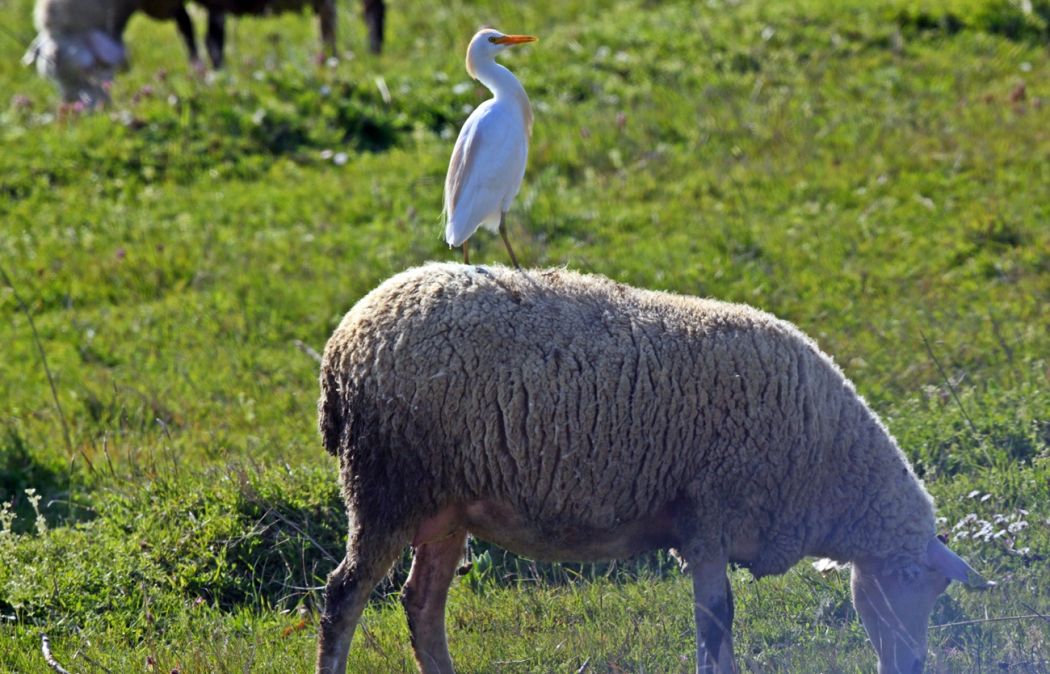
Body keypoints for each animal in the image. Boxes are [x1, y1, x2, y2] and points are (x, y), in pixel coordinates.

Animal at [315, 261, 986, 671]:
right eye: (921, 584)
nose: (912, 666)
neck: (826, 464)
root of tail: (343, 344)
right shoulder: (710, 519)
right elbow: (717, 623)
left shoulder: (702, 528)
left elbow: (716, 622)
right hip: (386, 487)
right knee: (344, 595)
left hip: (445, 509)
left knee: (422, 606)